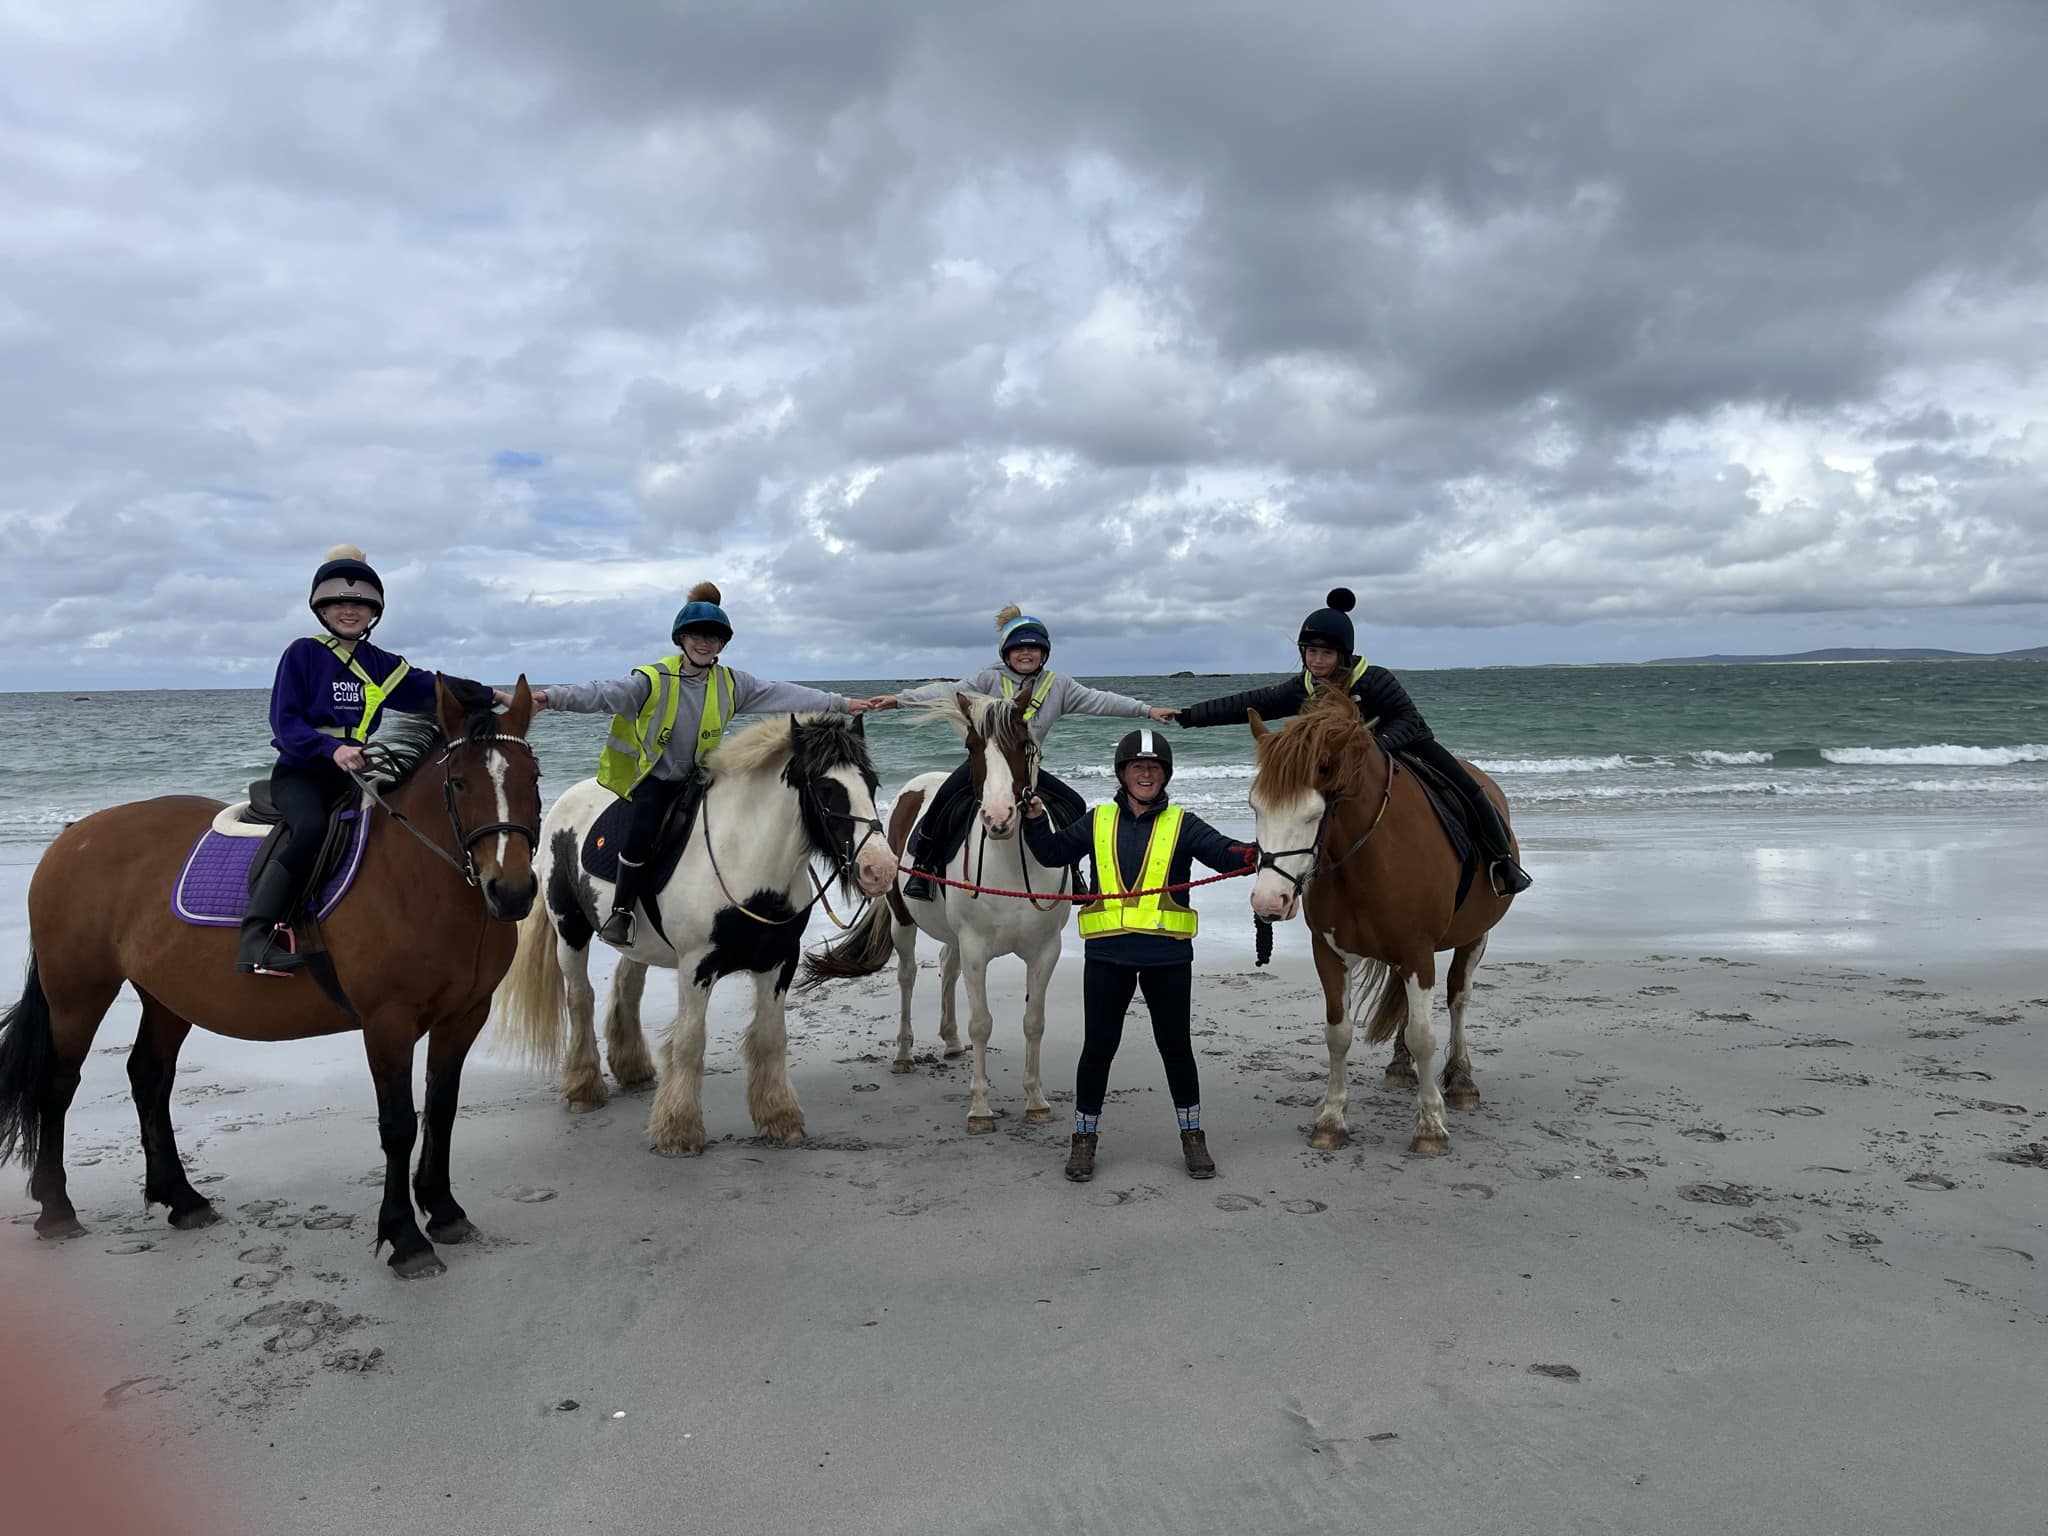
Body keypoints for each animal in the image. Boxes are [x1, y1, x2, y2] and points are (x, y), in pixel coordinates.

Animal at [0, 684, 544, 1277]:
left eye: (532, 778)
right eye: (460, 782)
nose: (510, 891)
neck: (417, 875)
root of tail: (73, 835)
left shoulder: (464, 1015)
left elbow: (441, 1111)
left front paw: (443, 1211)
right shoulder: (387, 1023)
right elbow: (399, 1124)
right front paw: (406, 1237)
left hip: (165, 998)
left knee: (148, 1076)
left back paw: (181, 1198)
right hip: (77, 995)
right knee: (58, 1085)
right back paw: (56, 1209)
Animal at [495, 716, 897, 1163]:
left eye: (872, 783)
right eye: (827, 788)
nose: (880, 869)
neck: (742, 860)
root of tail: (567, 800)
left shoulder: (779, 961)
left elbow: (772, 1038)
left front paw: (779, 1118)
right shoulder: (696, 967)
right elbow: (689, 1042)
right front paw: (678, 1130)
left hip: (638, 942)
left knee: (627, 984)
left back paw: (633, 1069)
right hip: (570, 930)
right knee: (580, 999)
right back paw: (583, 1087)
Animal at [794, 696, 1073, 1130]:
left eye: (1023, 744)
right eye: (972, 748)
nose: (999, 818)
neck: (1011, 866)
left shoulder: (1046, 950)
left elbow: (1034, 1022)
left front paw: (1036, 1100)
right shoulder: (976, 949)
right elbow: (982, 1024)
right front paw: (980, 1108)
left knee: (946, 965)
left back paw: (952, 1042)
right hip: (903, 922)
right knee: (908, 977)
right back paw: (904, 1055)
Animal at [1228, 684, 1523, 1155]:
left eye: (1314, 813)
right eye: (1255, 806)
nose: (1269, 901)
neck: (1369, 854)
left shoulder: (1419, 952)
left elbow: (1425, 1034)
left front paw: (1430, 1125)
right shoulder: (1330, 953)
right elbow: (1338, 1033)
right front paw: (1332, 1119)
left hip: (1475, 936)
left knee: (1458, 1000)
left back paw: (1461, 1082)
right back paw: (1401, 1066)